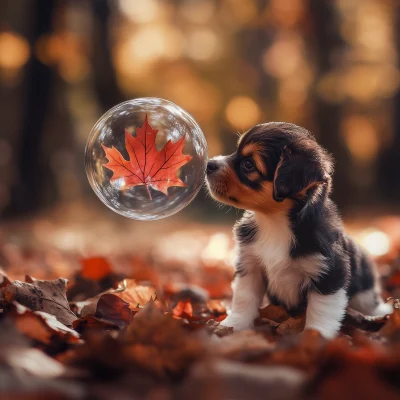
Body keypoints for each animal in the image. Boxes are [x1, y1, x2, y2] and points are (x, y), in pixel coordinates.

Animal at [206, 122, 390, 338]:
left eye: (248, 164)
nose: (209, 164)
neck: (274, 222)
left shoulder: (328, 273)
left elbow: (321, 310)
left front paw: (314, 337)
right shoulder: (250, 265)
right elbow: (243, 298)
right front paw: (232, 326)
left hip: (364, 295)